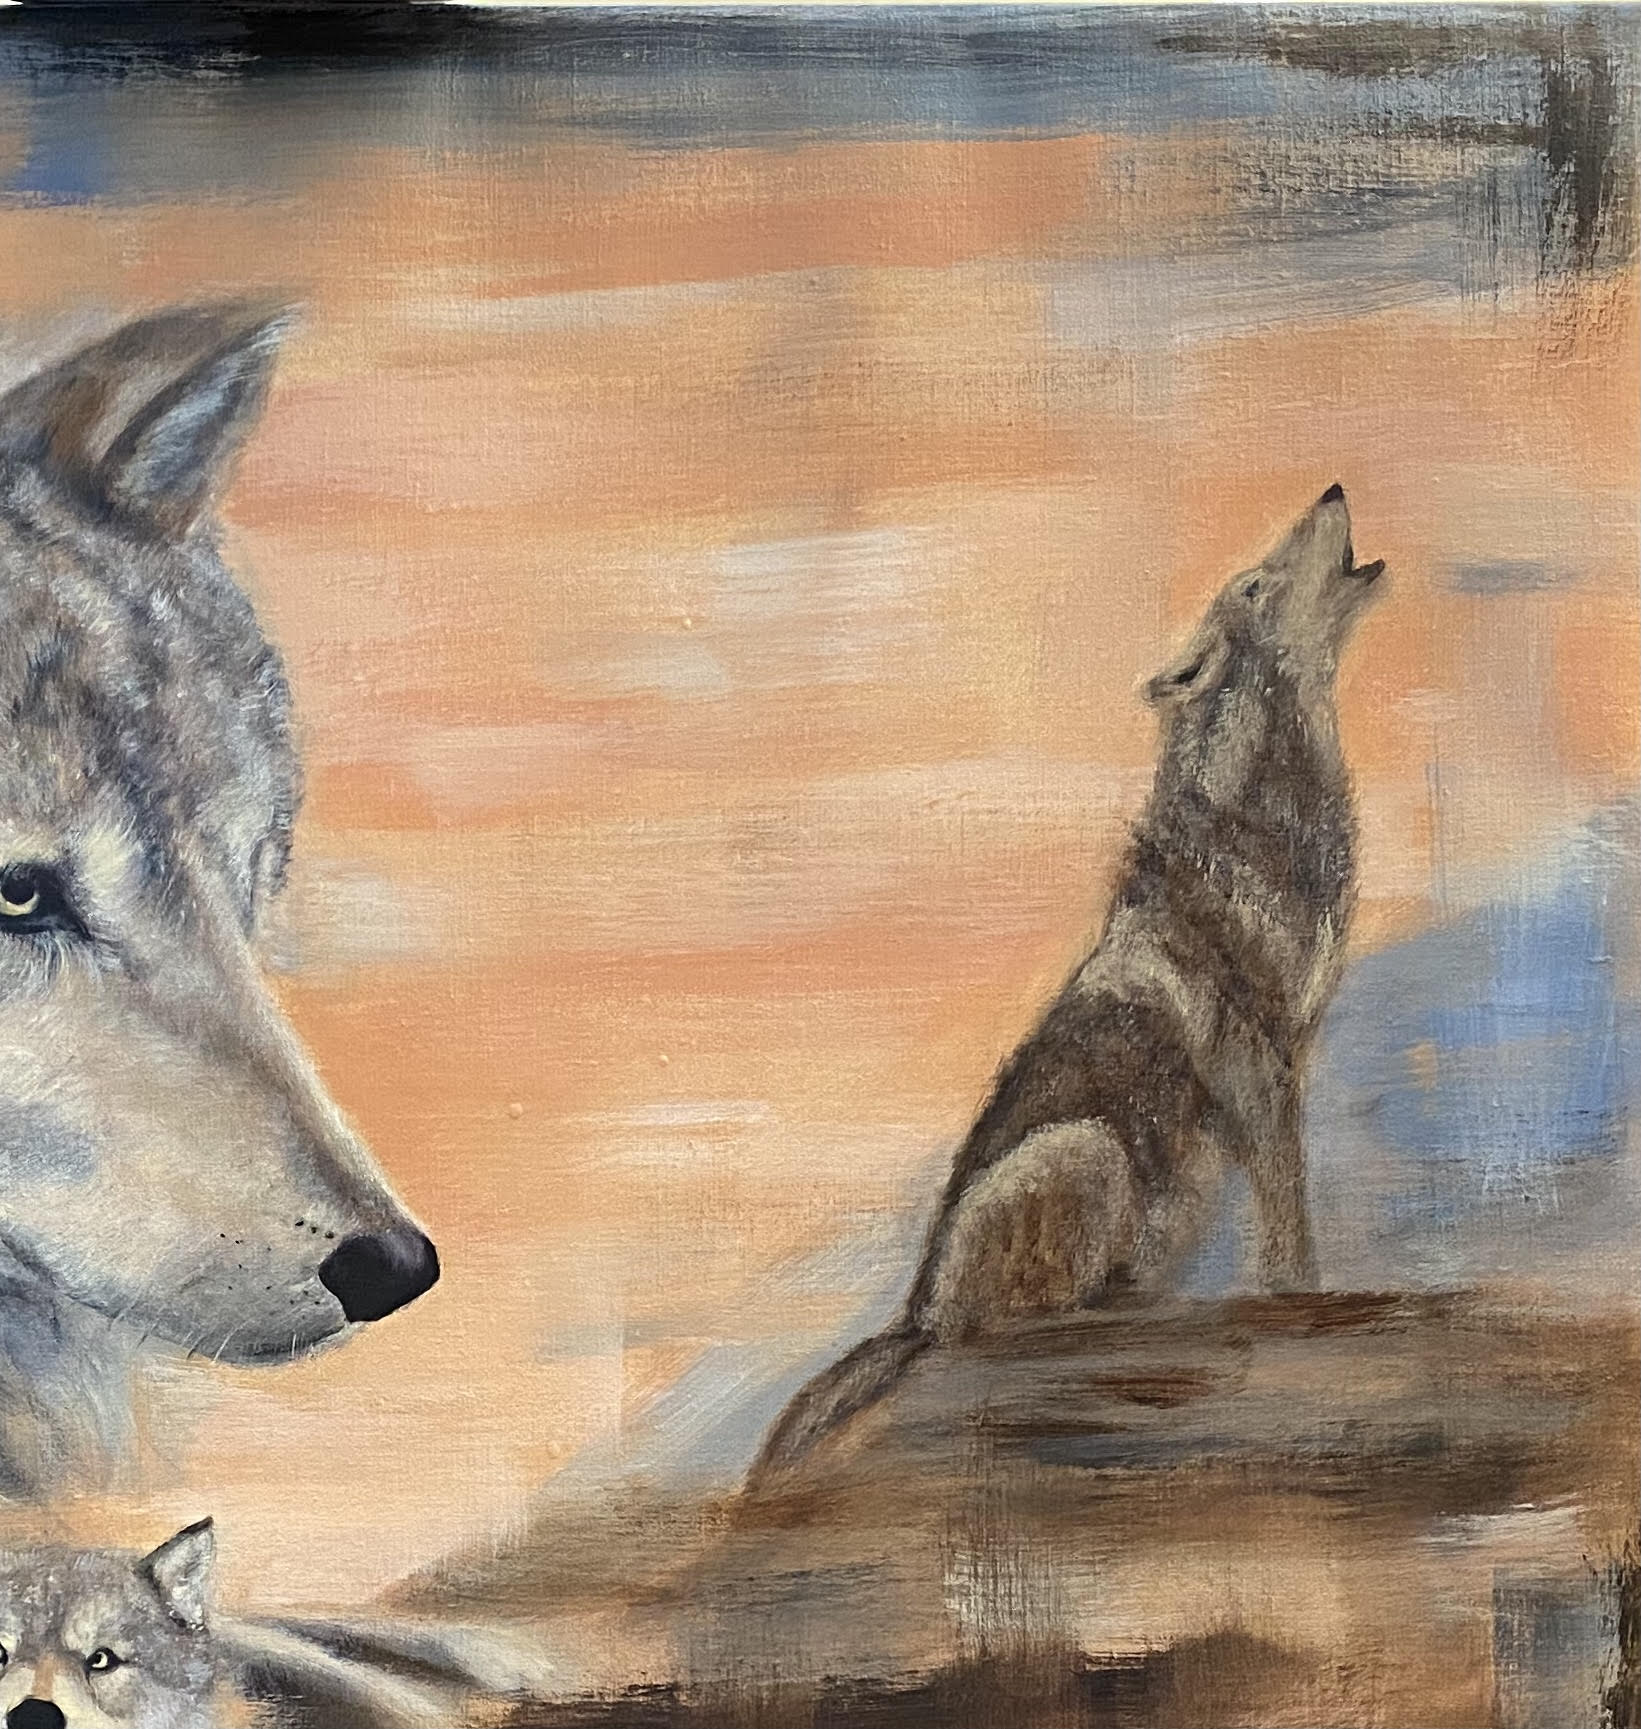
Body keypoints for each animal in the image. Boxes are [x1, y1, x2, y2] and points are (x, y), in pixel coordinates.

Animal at [751, 487, 1386, 1484]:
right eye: (1254, 583)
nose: (1331, 491)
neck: (1261, 820)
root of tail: (914, 1313)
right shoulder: (1252, 1062)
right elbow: (1288, 1213)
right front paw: (1303, 1297)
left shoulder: (1290, 1052)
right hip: (1085, 1147)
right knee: (1019, 1329)